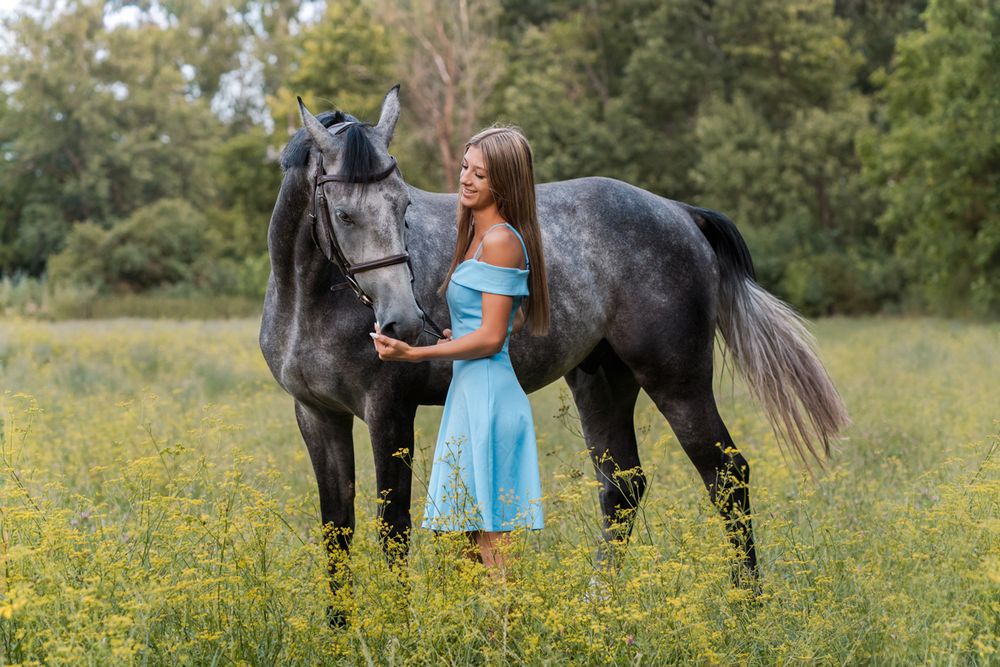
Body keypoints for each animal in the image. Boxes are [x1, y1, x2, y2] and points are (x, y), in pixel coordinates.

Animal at [259, 86, 849, 624]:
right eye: (343, 214)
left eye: (404, 206)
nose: (401, 322)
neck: (311, 300)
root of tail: (678, 213)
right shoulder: (318, 417)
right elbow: (337, 530)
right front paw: (341, 631)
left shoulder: (388, 412)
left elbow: (393, 530)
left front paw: (396, 631)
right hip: (602, 380)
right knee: (624, 486)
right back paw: (599, 606)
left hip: (677, 381)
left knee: (726, 474)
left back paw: (747, 605)